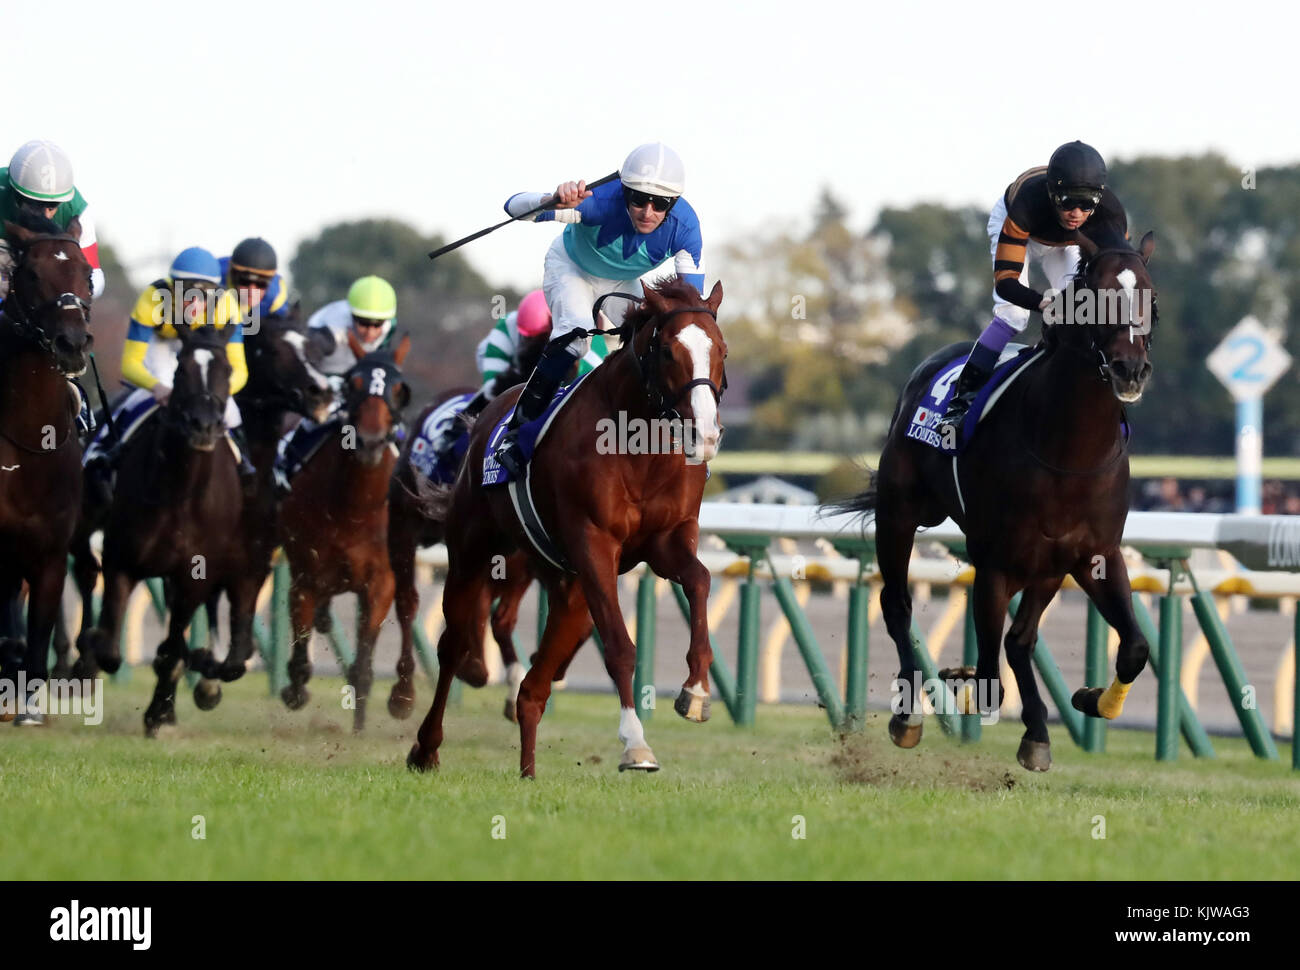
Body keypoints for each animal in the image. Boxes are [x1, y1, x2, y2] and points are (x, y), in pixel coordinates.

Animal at [74, 325, 263, 733]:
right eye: (180, 370)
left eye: (227, 370)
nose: (203, 425)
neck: (181, 492)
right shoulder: (121, 559)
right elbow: (110, 648)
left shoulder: (195, 574)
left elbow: (174, 648)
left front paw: (161, 712)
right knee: (83, 572)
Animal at [279, 330, 410, 728]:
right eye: (353, 383)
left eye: (398, 388)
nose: (369, 441)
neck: (354, 508)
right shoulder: (305, 577)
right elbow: (300, 659)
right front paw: (294, 690)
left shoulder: (381, 582)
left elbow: (363, 668)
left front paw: (359, 727)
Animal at [405, 275, 728, 774]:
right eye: (669, 352)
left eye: (722, 350)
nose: (706, 435)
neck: (641, 450)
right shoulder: (593, 543)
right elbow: (619, 645)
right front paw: (635, 744)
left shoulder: (665, 541)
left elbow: (699, 580)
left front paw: (694, 690)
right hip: (473, 552)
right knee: (455, 644)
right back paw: (427, 747)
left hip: (568, 585)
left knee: (537, 677)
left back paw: (528, 767)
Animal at [826, 230, 1154, 764]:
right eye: (1095, 295)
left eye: (1149, 294)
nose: (1130, 369)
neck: (1067, 450)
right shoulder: (996, 561)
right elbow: (989, 676)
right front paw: (964, 688)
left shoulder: (1092, 554)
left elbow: (1133, 647)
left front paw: (1087, 703)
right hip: (899, 513)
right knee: (897, 603)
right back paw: (908, 716)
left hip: (1045, 565)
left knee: (1019, 640)